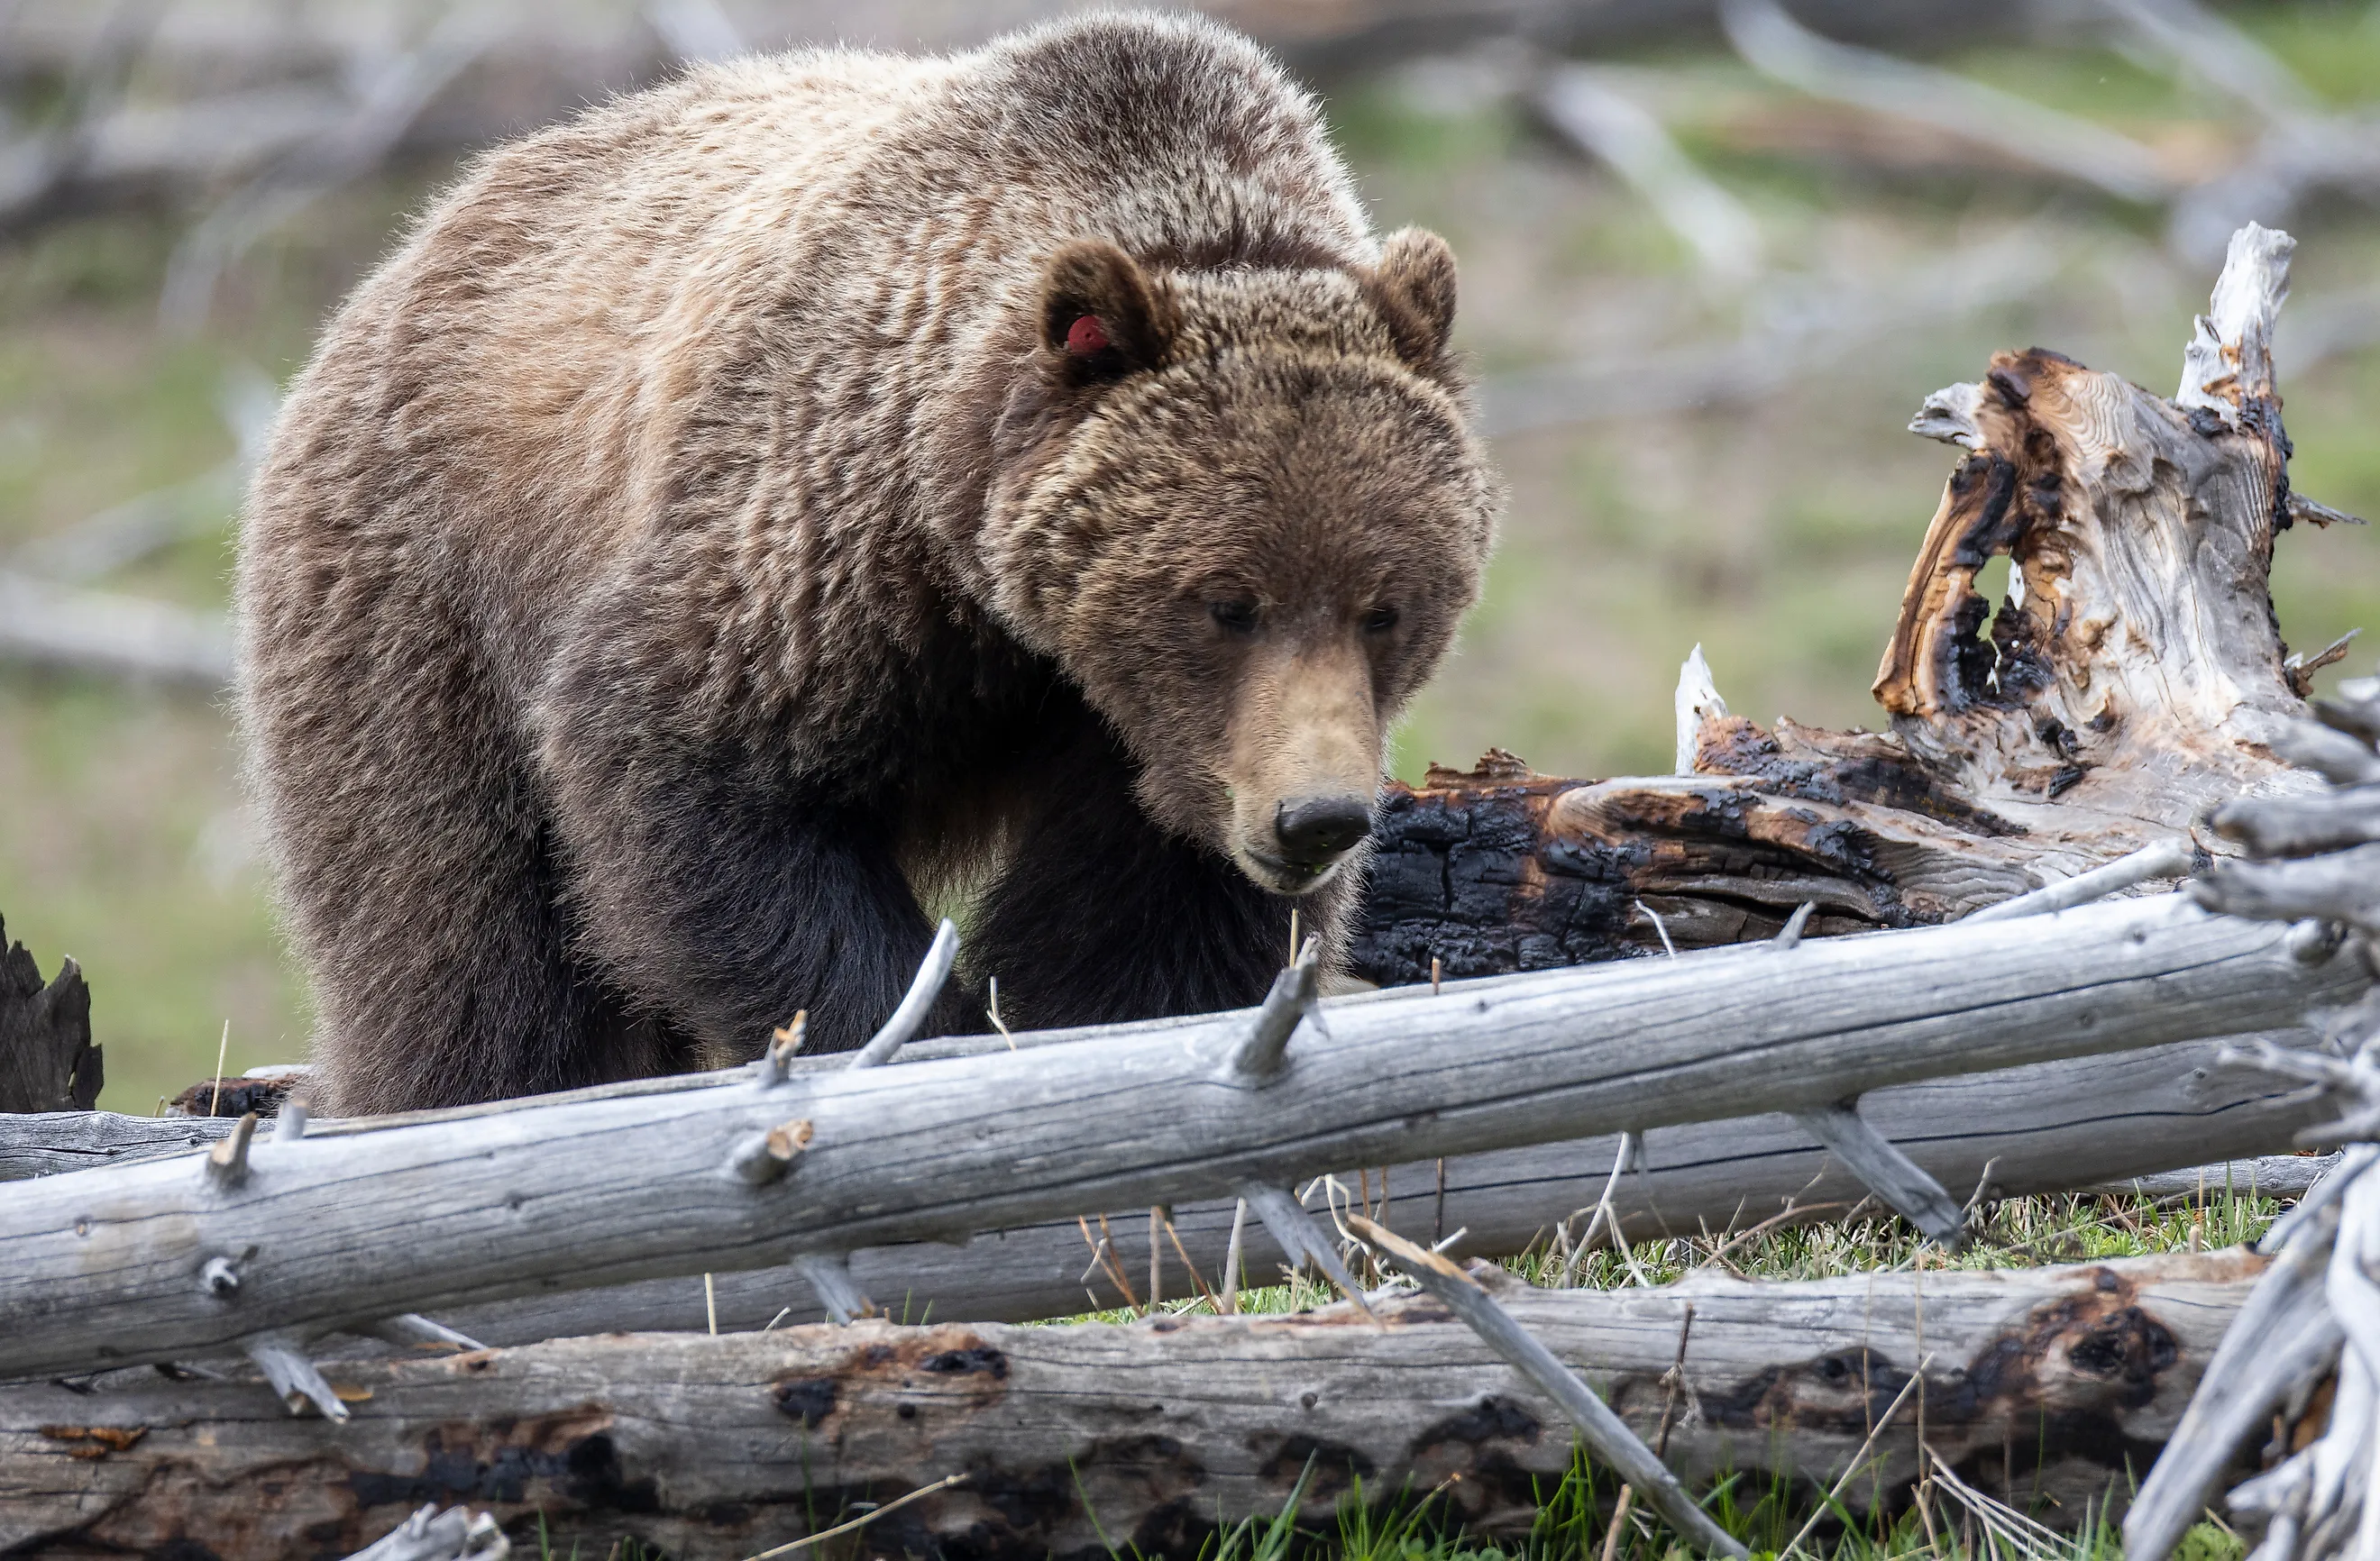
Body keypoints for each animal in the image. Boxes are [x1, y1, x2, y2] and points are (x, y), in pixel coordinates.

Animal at [236, 13, 1501, 1117]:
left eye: (1387, 607)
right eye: (1226, 600)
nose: (1317, 818)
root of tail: (413, 246)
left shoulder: (1153, 748)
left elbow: (1158, 928)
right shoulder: (831, 545)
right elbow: (688, 758)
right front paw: (901, 1038)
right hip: (425, 587)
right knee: (465, 938)